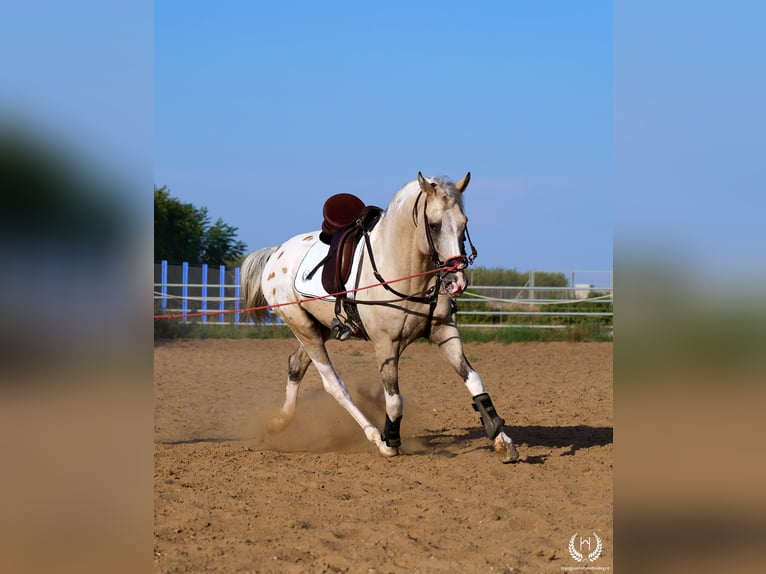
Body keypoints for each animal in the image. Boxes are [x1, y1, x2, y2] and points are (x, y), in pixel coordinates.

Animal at [240, 172, 519, 463]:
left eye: (464, 224)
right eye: (434, 226)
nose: (457, 282)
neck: (403, 271)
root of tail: (276, 252)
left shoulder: (444, 331)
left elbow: (474, 380)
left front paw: (501, 438)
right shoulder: (386, 344)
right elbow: (394, 399)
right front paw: (390, 442)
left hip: (320, 328)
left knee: (296, 365)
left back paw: (279, 422)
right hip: (302, 327)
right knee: (334, 384)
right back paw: (374, 435)